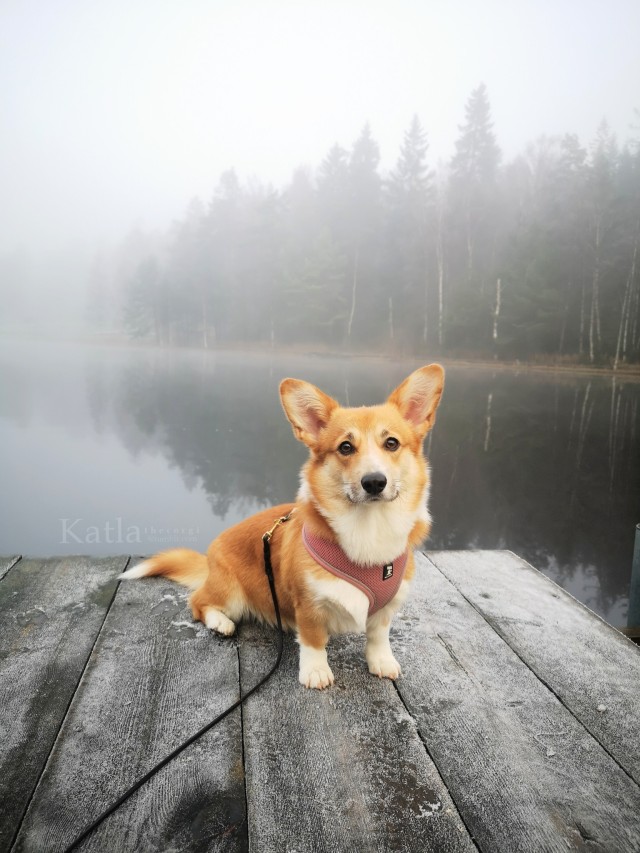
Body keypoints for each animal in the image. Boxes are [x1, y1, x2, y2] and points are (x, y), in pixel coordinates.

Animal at [117, 362, 442, 688]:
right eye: (346, 447)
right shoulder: (308, 605)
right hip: (232, 595)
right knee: (198, 602)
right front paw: (315, 671)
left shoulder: (388, 607)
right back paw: (221, 622)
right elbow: (313, 640)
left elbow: (378, 636)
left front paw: (382, 662)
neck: (369, 528)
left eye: (392, 443)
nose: (374, 482)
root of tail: (209, 559)